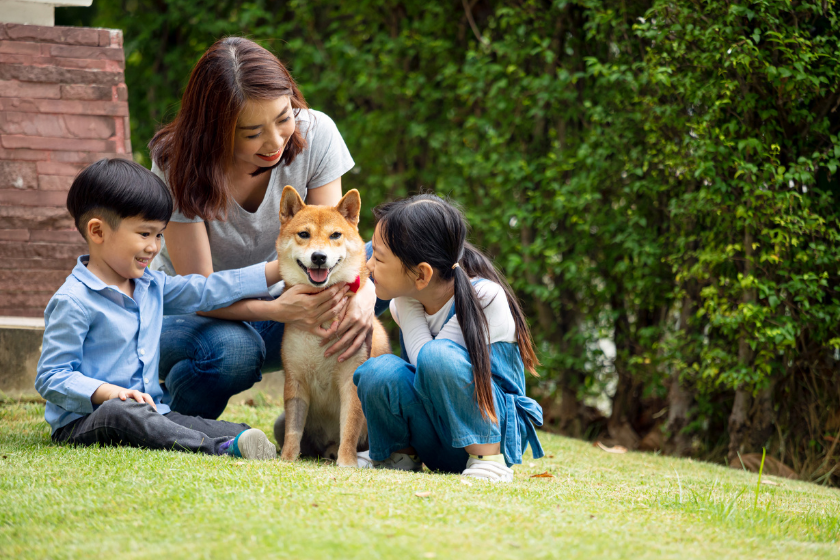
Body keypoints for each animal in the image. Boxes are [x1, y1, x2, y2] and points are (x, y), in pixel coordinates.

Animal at [272, 186, 390, 466]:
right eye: (304, 234)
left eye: (335, 235)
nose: (319, 257)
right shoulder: (295, 380)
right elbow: (294, 430)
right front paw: (287, 459)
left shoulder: (351, 379)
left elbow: (349, 427)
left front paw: (347, 463)